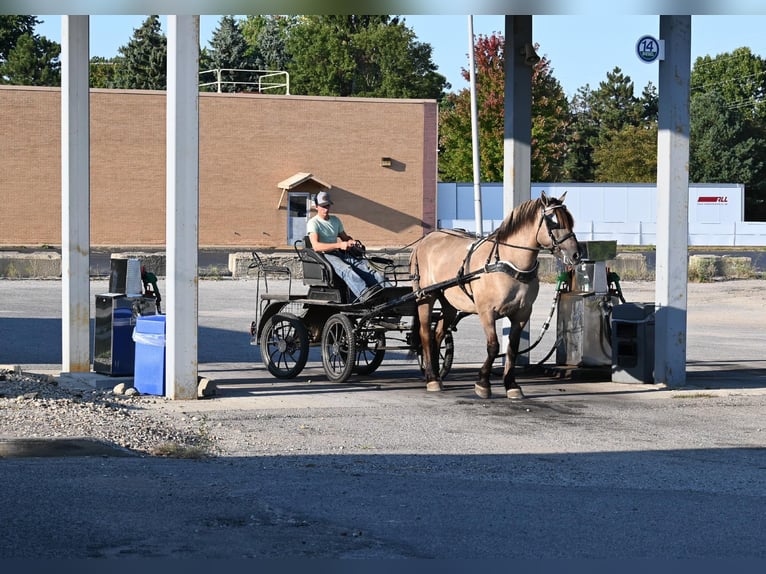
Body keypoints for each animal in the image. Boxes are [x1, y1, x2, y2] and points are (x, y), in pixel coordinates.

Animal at [409, 191, 581, 399]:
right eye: (553, 222)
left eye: (570, 221)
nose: (576, 255)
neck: (509, 263)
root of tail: (425, 240)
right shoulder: (486, 312)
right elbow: (493, 346)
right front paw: (483, 382)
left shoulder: (522, 313)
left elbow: (512, 348)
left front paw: (511, 384)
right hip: (426, 296)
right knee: (426, 334)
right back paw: (432, 378)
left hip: (449, 303)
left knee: (438, 334)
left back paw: (436, 373)